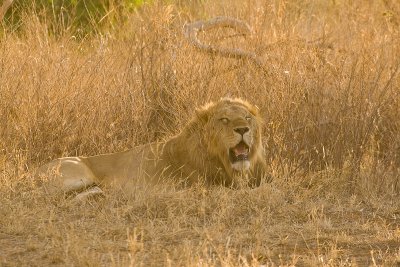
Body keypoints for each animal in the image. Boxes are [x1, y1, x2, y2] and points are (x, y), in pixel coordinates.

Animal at [36, 97, 268, 200]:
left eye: (247, 118)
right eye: (224, 119)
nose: (243, 129)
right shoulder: (205, 188)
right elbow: (248, 191)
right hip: (78, 174)